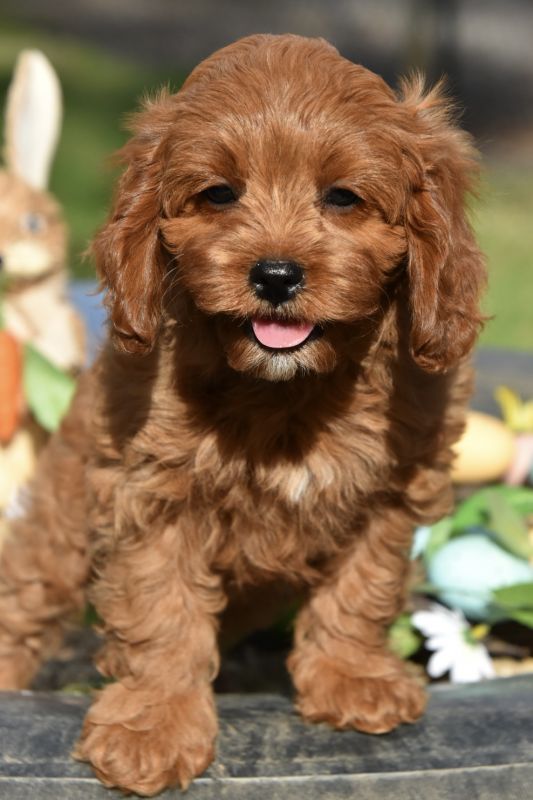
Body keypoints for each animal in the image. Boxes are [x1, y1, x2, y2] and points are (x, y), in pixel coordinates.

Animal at [0, 34, 485, 795]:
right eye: (219, 194)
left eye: (342, 197)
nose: (276, 275)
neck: (284, 389)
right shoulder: (150, 497)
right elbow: (160, 613)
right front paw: (153, 730)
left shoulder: (390, 491)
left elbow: (363, 588)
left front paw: (350, 679)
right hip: (61, 521)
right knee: (27, 599)